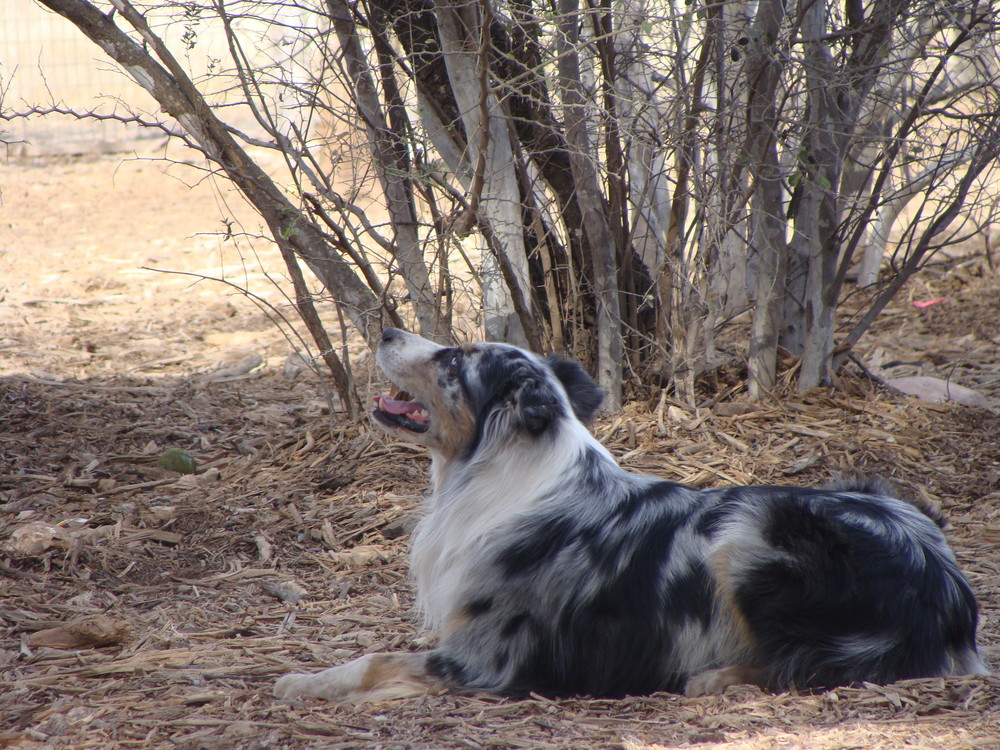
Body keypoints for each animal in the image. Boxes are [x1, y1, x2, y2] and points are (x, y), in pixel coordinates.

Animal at [274, 328, 984, 704]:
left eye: (453, 359)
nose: (387, 332)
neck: (489, 472)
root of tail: (950, 589)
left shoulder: (485, 658)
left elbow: (374, 662)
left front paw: (303, 682)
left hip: (750, 534)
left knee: (820, 664)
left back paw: (716, 677)